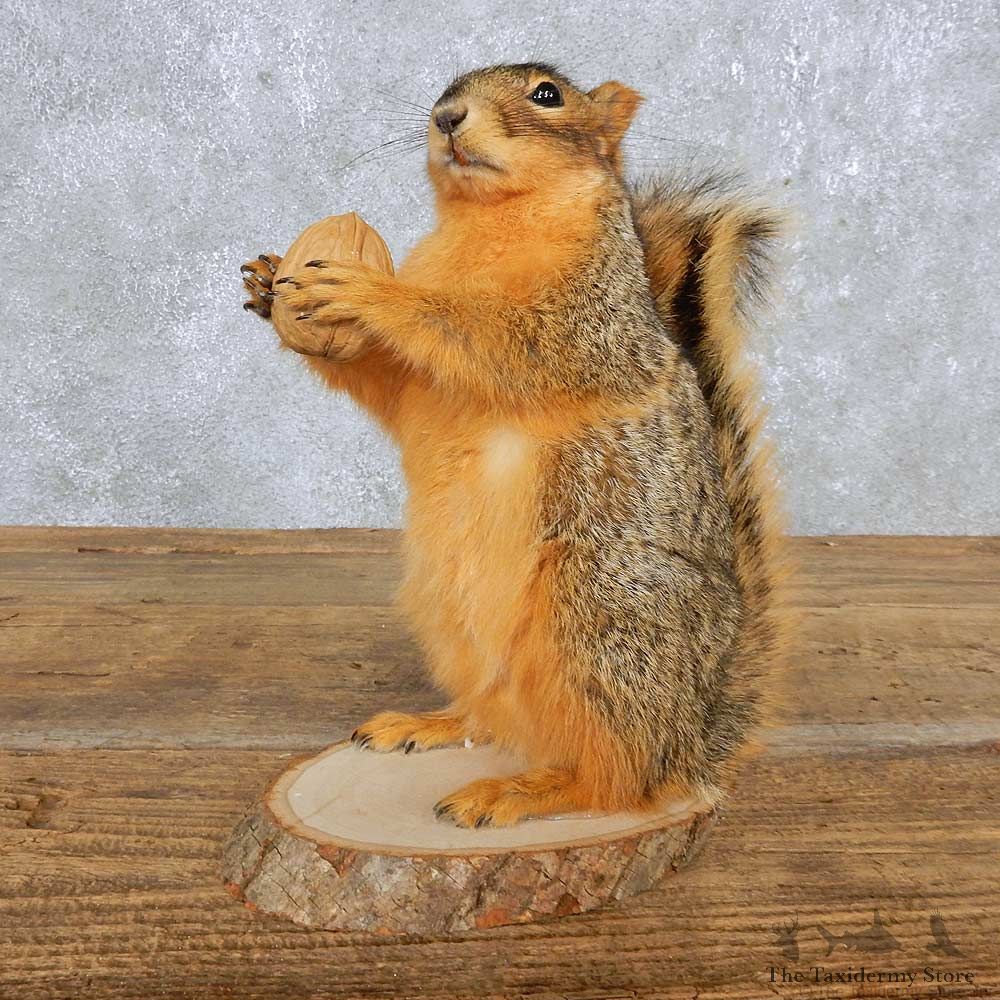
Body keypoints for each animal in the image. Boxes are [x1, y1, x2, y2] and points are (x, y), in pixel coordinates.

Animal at [240, 63, 790, 828]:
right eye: (445, 89)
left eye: (546, 96)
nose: (447, 117)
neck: (489, 219)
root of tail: (692, 738)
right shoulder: (419, 388)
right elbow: (393, 387)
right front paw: (269, 283)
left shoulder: (592, 320)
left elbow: (496, 335)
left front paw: (370, 290)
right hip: (448, 611)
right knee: (501, 721)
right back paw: (431, 724)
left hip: (599, 614)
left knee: (616, 779)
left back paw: (519, 791)